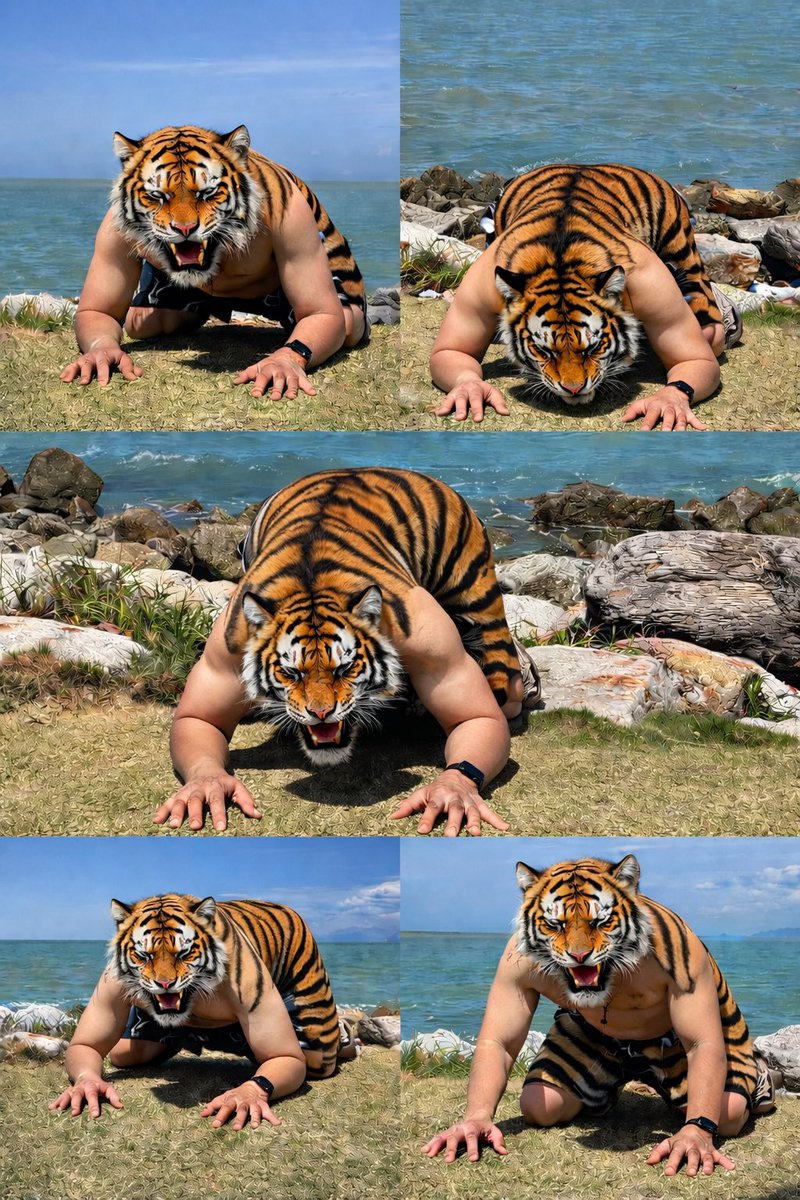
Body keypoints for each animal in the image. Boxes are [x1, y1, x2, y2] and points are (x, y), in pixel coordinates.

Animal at [223, 466, 523, 766]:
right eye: (290, 673)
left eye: (345, 669)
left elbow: (475, 716)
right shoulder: (231, 643)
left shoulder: (432, 644)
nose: (320, 714)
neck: (310, 581)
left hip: (476, 598)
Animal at [492, 163, 722, 405]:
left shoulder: (652, 284)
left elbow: (693, 358)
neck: (560, 256)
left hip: (682, 251)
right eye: (543, 351)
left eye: (593, 348)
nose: (573, 389)